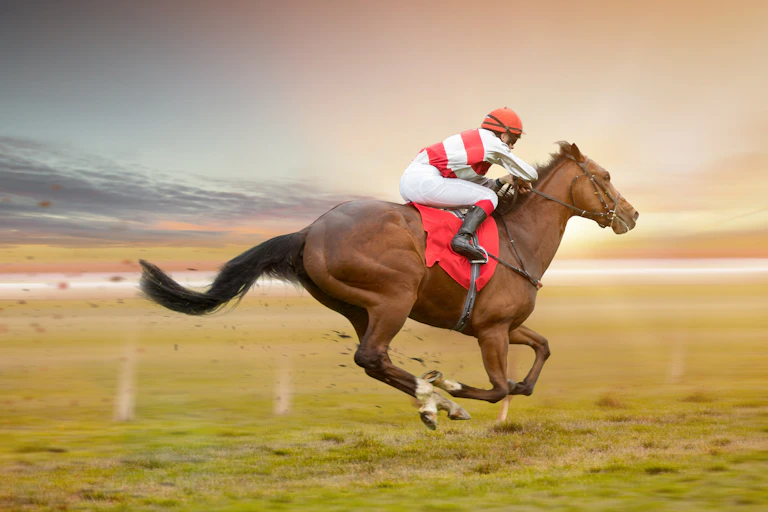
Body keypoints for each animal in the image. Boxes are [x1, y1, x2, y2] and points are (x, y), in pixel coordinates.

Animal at [139, 142, 639, 429]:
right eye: (606, 177)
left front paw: (465, 392)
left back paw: (432, 401)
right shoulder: (492, 330)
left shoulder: (503, 325)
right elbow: (499, 387)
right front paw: (455, 389)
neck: (521, 239)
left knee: (373, 361)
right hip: (394, 297)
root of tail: (310, 231)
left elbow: (540, 354)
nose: (632, 215)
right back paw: (439, 400)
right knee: (372, 356)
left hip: (358, 308)